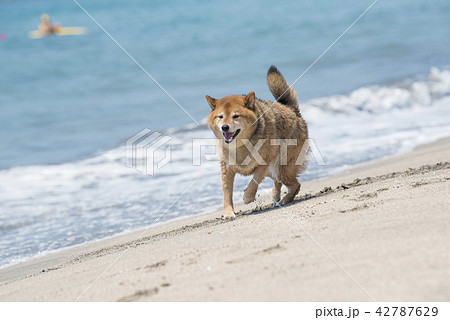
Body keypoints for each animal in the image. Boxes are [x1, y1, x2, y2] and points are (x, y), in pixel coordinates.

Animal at [206, 65, 308, 220]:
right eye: (220, 117)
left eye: (236, 116)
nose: (225, 127)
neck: (241, 145)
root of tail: (292, 110)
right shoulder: (226, 169)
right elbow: (226, 193)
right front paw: (229, 213)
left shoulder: (263, 164)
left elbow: (254, 181)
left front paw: (248, 197)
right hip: (273, 171)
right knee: (280, 182)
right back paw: (276, 195)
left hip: (279, 168)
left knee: (295, 185)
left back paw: (284, 200)